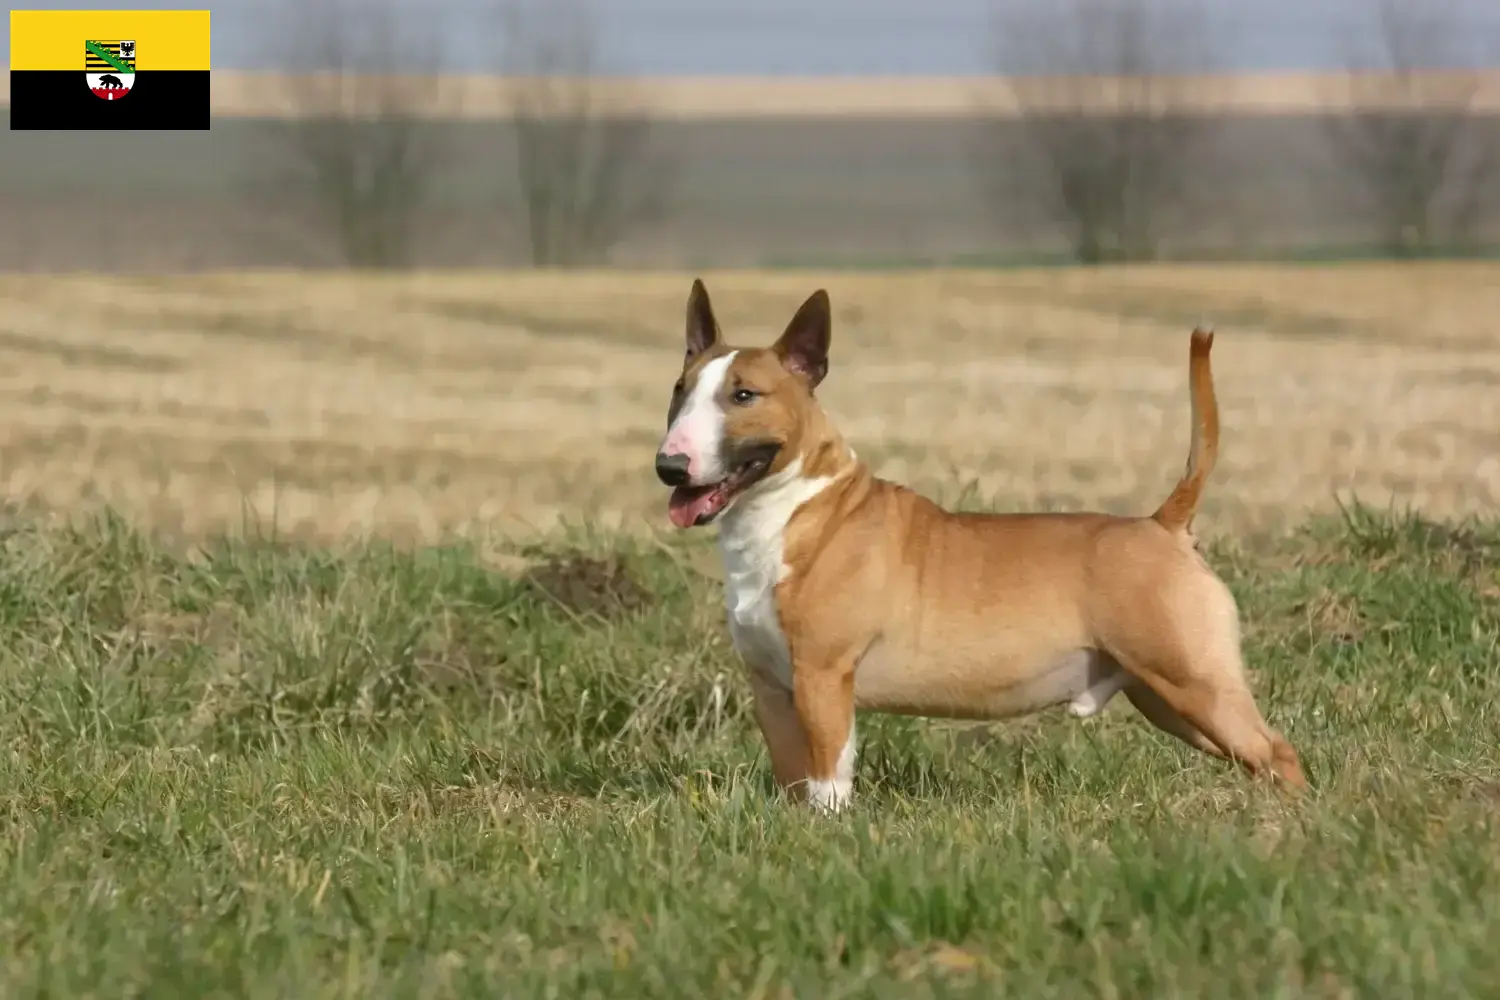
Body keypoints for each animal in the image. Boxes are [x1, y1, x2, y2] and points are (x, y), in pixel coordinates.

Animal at [651, 280, 1308, 815]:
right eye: (679, 390)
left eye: (744, 396)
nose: (669, 466)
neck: (797, 509)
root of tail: (1161, 525)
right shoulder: (772, 688)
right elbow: (795, 782)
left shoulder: (823, 677)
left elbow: (828, 781)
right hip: (1166, 699)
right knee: (1256, 757)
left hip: (1194, 680)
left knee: (1277, 752)